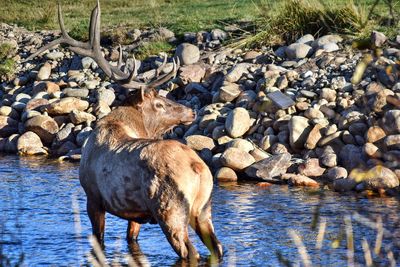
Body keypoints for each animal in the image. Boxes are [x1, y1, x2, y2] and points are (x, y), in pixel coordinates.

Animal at [28, 0, 222, 260]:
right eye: (159, 103)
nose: (191, 111)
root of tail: (198, 167)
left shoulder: (93, 198)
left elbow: (99, 239)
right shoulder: (135, 213)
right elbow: (131, 239)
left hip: (169, 209)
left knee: (190, 251)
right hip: (203, 210)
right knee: (218, 248)